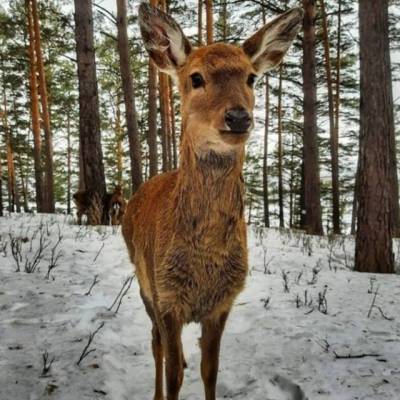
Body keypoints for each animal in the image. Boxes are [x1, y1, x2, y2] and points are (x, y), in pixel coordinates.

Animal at [122, 3, 304, 400]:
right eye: (195, 78)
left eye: (251, 78)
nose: (238, 116)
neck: (205, 260)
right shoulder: (166, 295)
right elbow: (174, 372)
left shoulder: (223, 302)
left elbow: (210, 370)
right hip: (142, 282)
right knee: (155, 343)